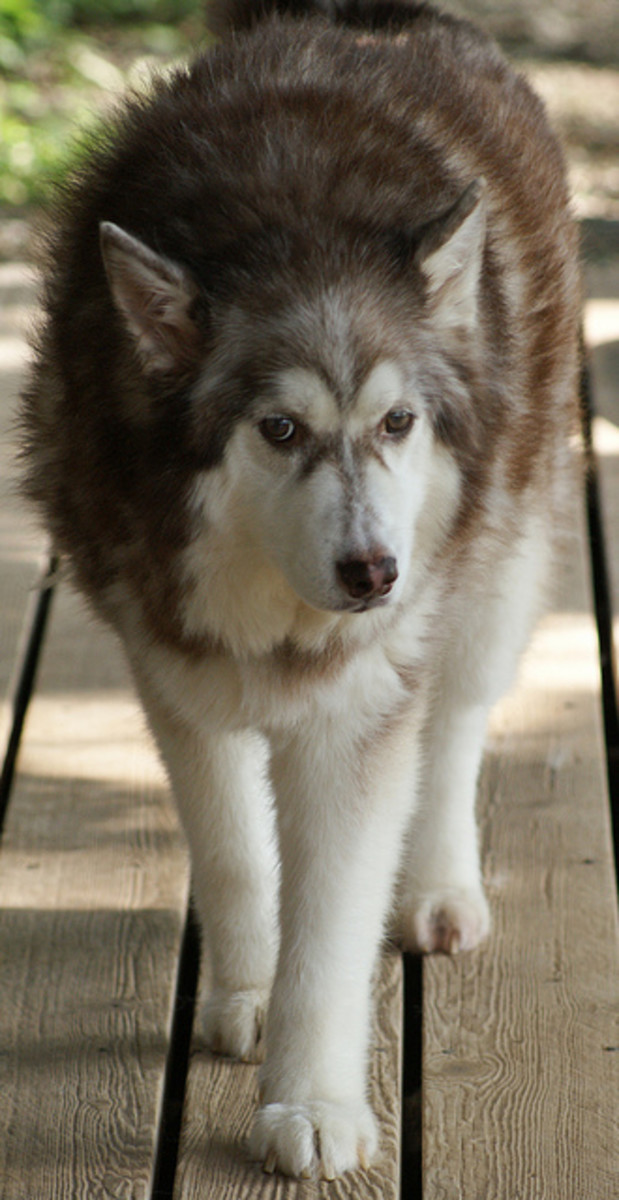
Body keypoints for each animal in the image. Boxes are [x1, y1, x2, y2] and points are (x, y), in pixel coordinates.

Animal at [19, 0, 580, 1180]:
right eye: (278, 429)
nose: (374, 572)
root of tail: (369, 19)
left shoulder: (357, 708)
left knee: (455, 722)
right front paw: (245, 989)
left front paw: (313, 1101)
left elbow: (334, 921)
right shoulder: (172, 667)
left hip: (498, 564)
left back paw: (438, 888)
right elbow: (235, 853)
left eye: (397, 422)